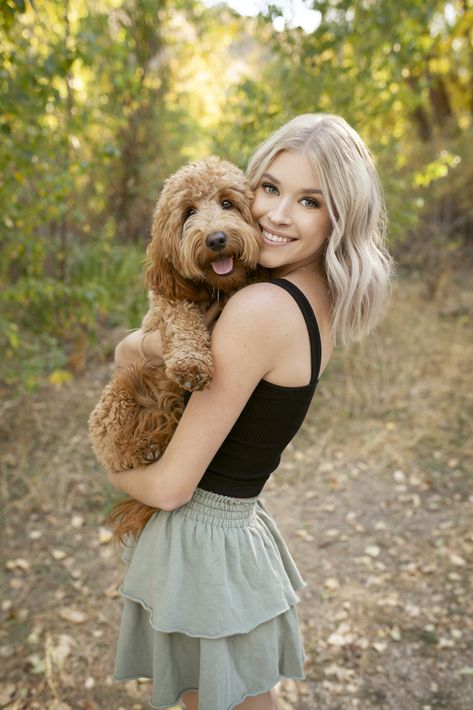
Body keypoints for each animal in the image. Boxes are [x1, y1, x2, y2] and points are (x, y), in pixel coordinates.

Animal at [86, 157, 260, 544]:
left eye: (227, 203)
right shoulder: (169, 303)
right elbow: (184, 323)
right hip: (115, 399)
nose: (216, 239)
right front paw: (191, 365)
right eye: (189, 212)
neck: (215, 288)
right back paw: (145, 442)